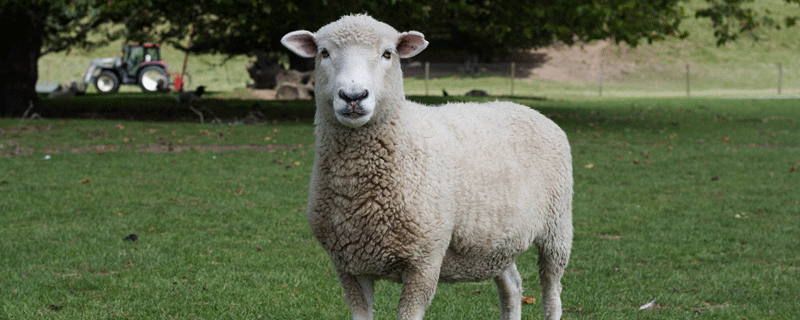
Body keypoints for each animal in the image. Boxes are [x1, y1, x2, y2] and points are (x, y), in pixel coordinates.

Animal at [284, 14, 572, 320]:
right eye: (324, 53)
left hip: (557, 227)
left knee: (552, 291)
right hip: (497, 243)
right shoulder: (349, 265)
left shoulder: (424, 261)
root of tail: (527, 109)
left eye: (388, 53)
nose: (353, 96)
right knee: (512, 286)